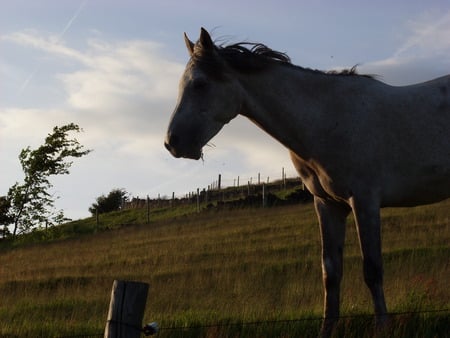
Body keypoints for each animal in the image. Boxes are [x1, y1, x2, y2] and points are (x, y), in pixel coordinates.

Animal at [164, 27, 450, 336]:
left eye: (200, 85)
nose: (172, 143)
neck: (326, 120)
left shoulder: (365, 203)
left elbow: (372, 269)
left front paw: (383, 328)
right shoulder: (327, 205)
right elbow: (330, 272)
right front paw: (327, 330)